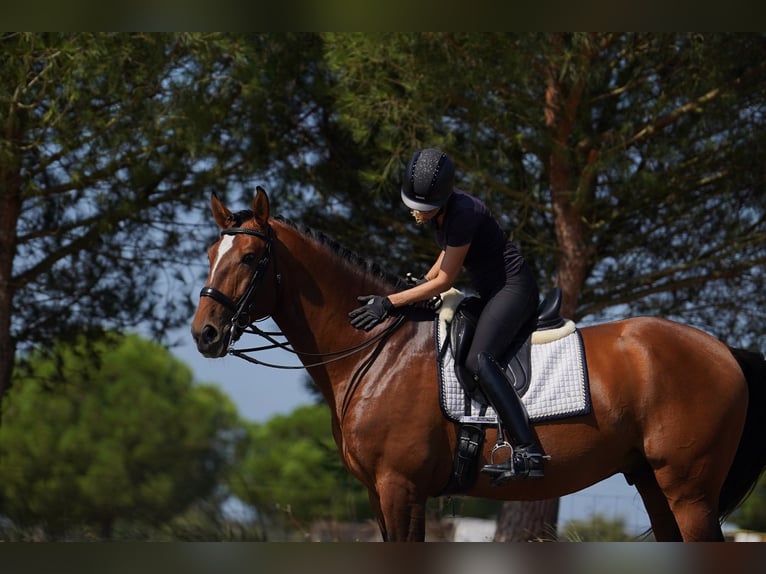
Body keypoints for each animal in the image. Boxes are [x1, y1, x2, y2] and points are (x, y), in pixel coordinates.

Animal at [190, 189, 766, 544]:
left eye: (249, 259)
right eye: (210, 255)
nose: (204, 334)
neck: (375, 352)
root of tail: (723, 349)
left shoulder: (400, 488)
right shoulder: (380, 494)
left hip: (689, 489)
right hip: (653, 482)